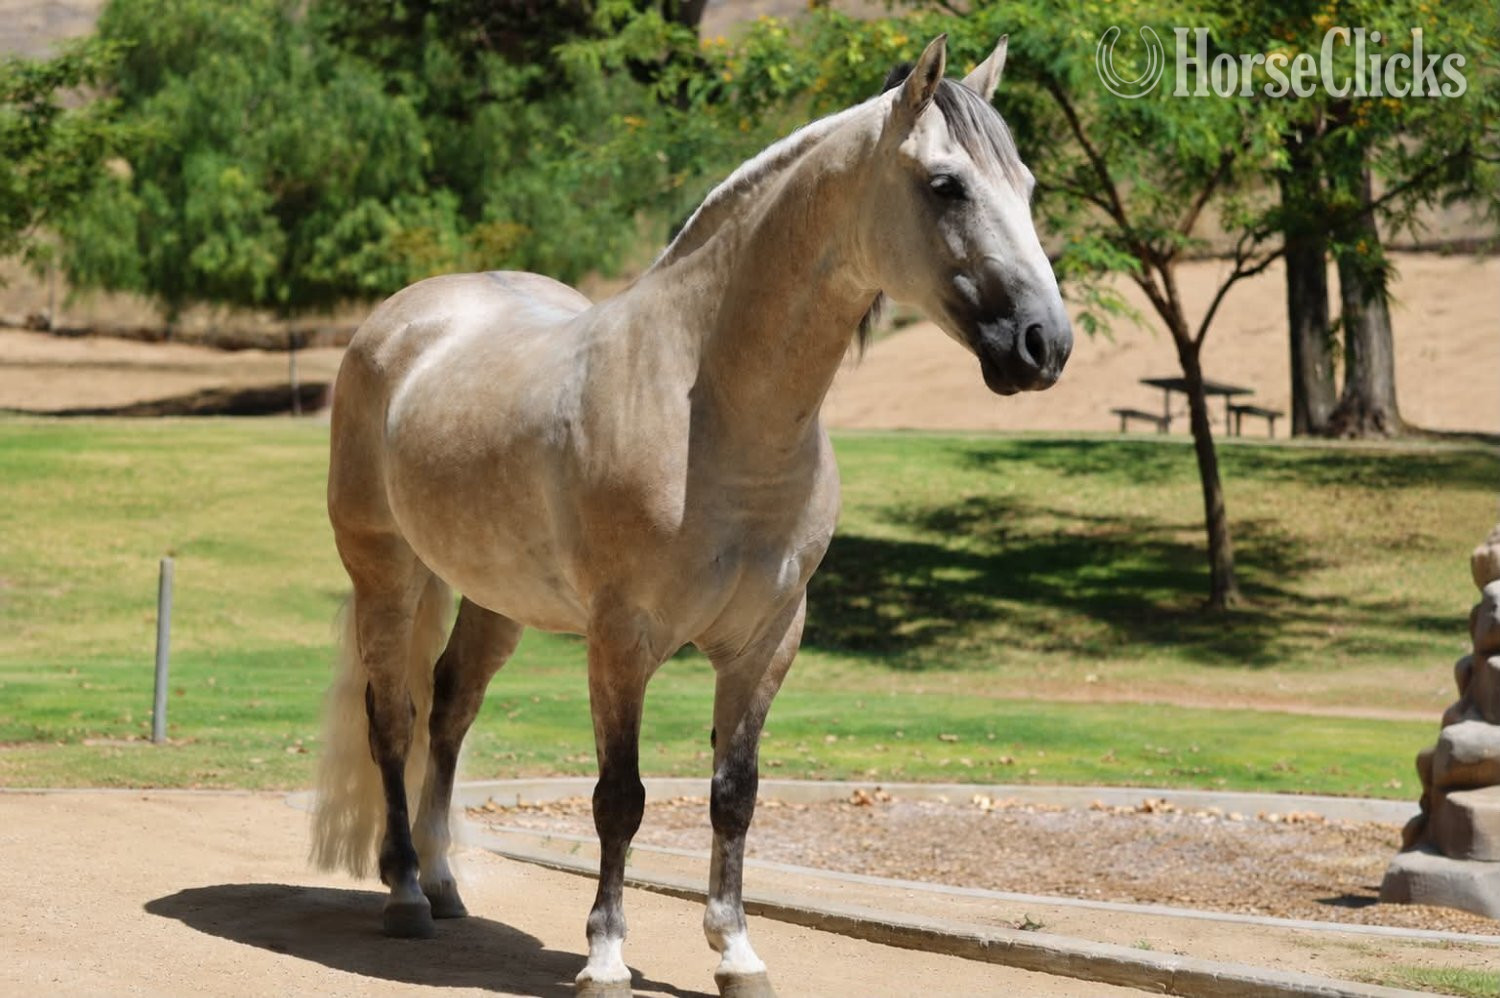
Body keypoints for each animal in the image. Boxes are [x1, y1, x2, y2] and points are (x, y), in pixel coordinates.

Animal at [310, 33, 1070, 998]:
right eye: (946, 185)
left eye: (1030, 185)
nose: (1045, 345)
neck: (709, 410)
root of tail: (403, 322)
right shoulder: (621, 639)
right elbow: (619, 797)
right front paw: (604, 956)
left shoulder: (767, 640)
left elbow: (733, 793)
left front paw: (737, 951)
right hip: (386, 574)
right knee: (394, 720)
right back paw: (407, 892)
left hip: (494, 599)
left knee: (449, 712)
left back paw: (446, 884)